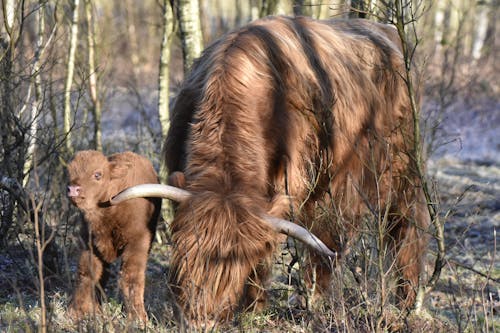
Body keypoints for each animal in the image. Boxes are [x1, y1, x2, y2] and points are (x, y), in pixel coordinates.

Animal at [66, 151, 160, 322]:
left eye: (97, 174)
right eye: (69, 171)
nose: (72, 189)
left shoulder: (138, 242)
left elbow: (131, 277)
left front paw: (137, 317)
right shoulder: (89, 244)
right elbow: (87, 273)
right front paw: (76, 312)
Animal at [111, 15, 428, 324]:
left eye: (235, 268)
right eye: (184, 252)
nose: (200, 320)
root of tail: (388, 32)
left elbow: (266, 250)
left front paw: (254, 309)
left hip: (393, 167)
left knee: (397, 225)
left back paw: (398, 300)